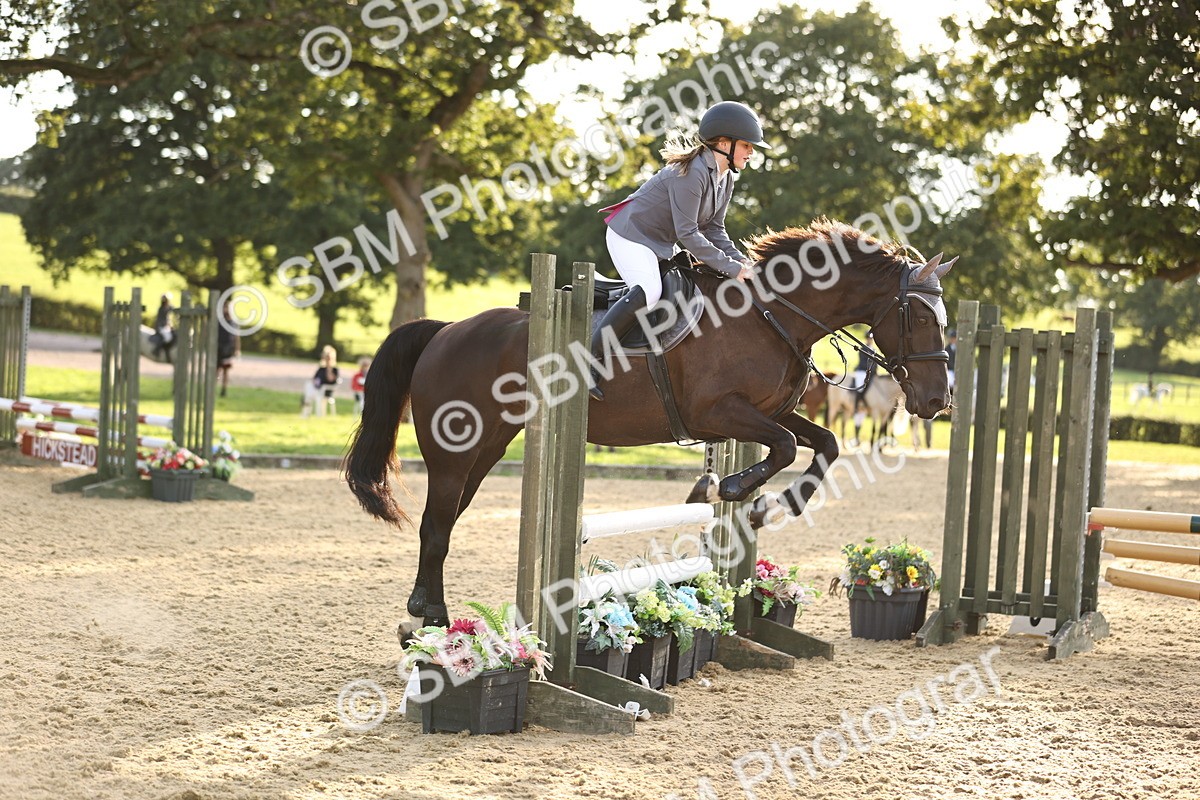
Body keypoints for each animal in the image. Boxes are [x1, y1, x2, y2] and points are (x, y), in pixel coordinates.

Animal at [345, 219, 957, 627]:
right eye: (923, 317)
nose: (938, 400)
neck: (772, 316)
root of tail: (447, 330)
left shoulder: (769, 411)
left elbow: (823, 443)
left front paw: (776, 503)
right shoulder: (719, 412)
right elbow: (784, 448)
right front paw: (733, 488)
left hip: (490, 446)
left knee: (445, 523)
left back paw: (426, 610)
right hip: (454, 450)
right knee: (435, 525)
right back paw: (431, 616)